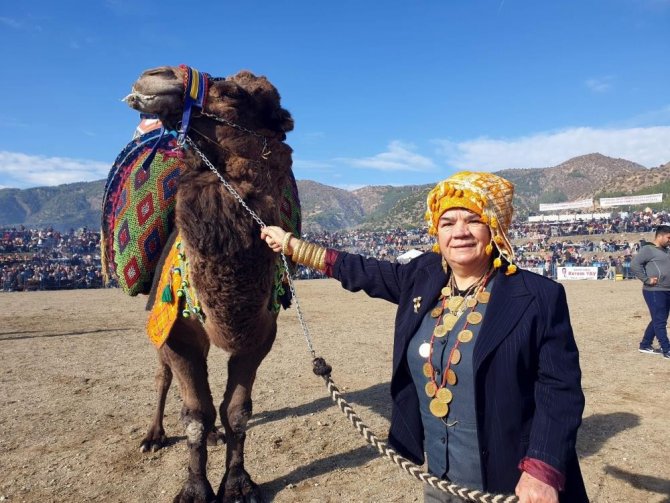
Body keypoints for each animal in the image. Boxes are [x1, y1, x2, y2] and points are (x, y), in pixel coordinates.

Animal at [121, 67, 300, 503]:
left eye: (233, 93)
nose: (153, 77)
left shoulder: (260, 334)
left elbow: (237, 411)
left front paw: (237, 483)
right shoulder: (175, 331)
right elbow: (195, 414)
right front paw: (195, 488)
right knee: (164, 377)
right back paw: (152, 436)